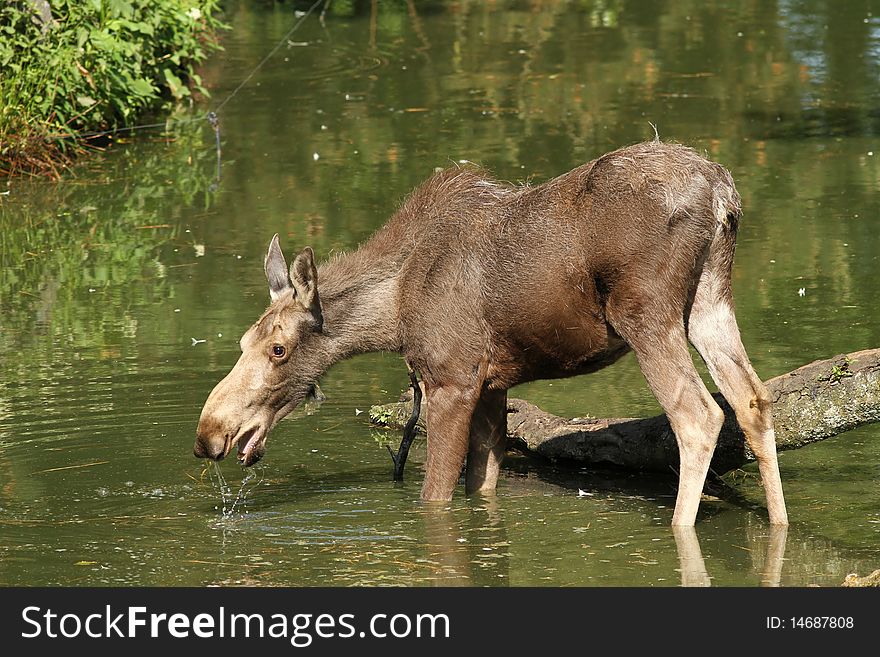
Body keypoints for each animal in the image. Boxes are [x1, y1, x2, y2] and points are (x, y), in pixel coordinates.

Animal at [196, 141, 788, 524]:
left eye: (279, 349)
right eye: (243, 343)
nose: (209, 433)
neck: (393, 310)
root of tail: (722, 194)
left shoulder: (452, 380)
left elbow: (435, 497)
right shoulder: (493, 386)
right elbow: (482, 487)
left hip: (646, 312)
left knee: (699, 415)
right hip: (710, 302)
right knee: (753, 399)